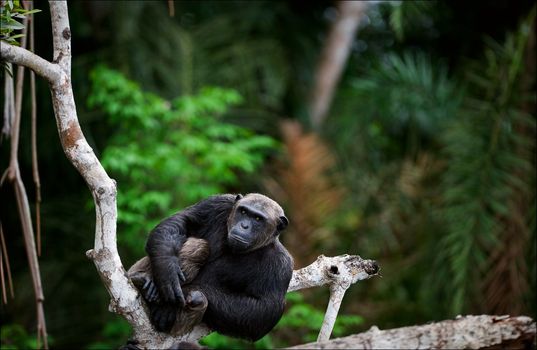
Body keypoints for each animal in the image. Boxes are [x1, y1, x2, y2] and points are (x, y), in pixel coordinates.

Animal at [126, 193, 294, 340]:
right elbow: (181, 220)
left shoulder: (281, 268)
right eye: (243, 211)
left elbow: (261, 312)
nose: (244, 225)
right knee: (199, 245)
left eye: (258, 219)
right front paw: (167, 270)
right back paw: (141, 279)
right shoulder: (217, 204)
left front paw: (181, 294)